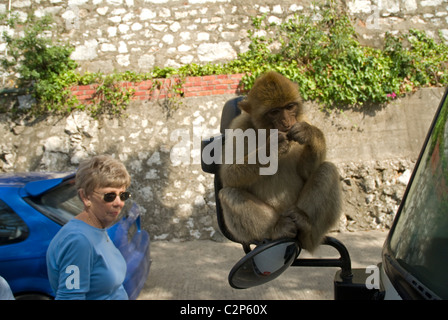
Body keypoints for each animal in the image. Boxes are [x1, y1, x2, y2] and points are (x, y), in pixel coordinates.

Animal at [219, 71, 342, 251]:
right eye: (275, 111)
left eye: (289, 107)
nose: (286, 122)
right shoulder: (239, 127)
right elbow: (229, 175)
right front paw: (272, 148)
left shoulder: (303, 119)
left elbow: (306, 172)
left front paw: (311, 134)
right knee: (229, 193)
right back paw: (277, 228)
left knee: (327, 169)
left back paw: (305, 227)